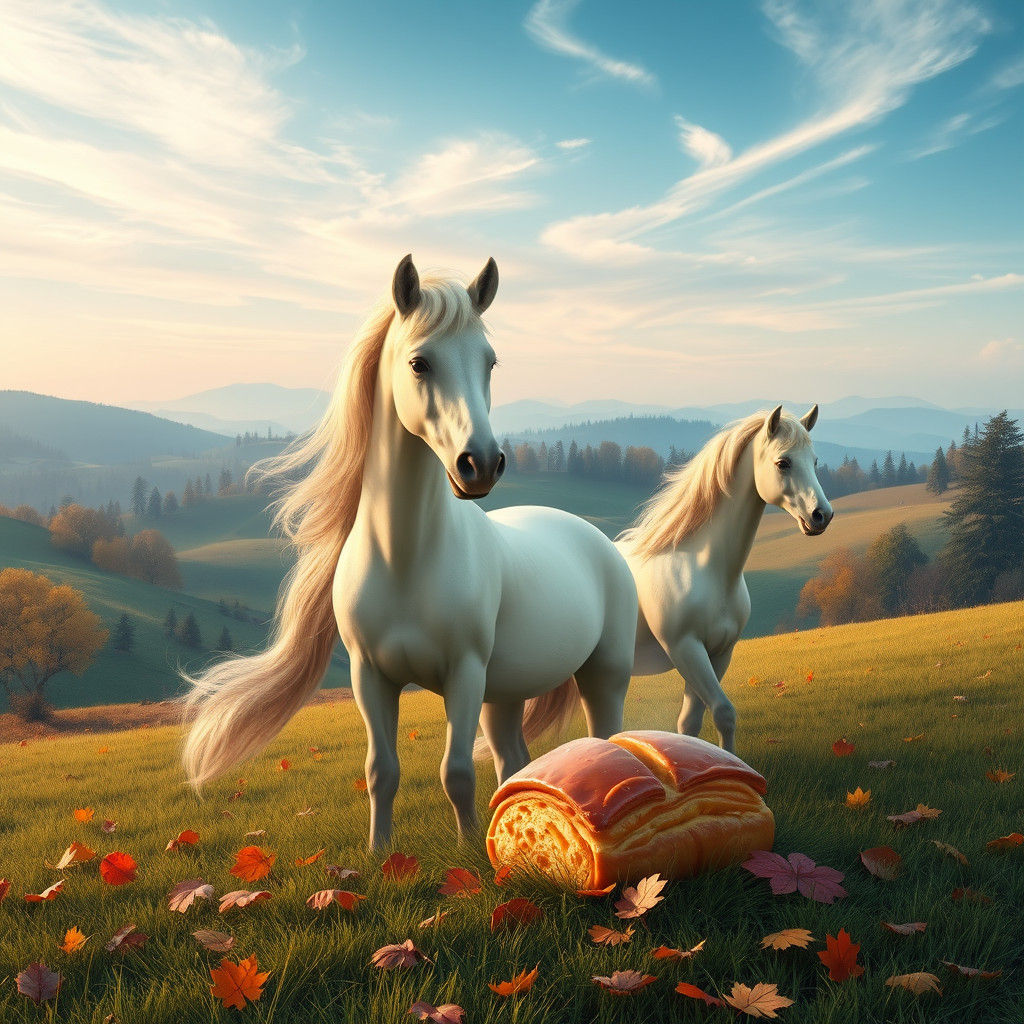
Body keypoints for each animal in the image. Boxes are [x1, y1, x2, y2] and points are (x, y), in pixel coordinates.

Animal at [182, 255, 638, 850]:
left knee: (607, 736)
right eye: (419, 363)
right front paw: (380, 853)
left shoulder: (464, 674)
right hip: (504, 695)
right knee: (513, 759)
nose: (482, 464)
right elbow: (382, 770)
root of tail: (598, 540)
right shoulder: (370, 677)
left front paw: (469, 853)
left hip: (603, 674)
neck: (405, 562)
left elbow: (456, 772)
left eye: (490, 362)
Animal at [616, 406, 832, 754]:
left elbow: (691, 722)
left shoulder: (719, 653)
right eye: (783, 462)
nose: (821, 515)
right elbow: (723, 711)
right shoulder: (686, 649)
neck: (701, 567)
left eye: (813, 461)